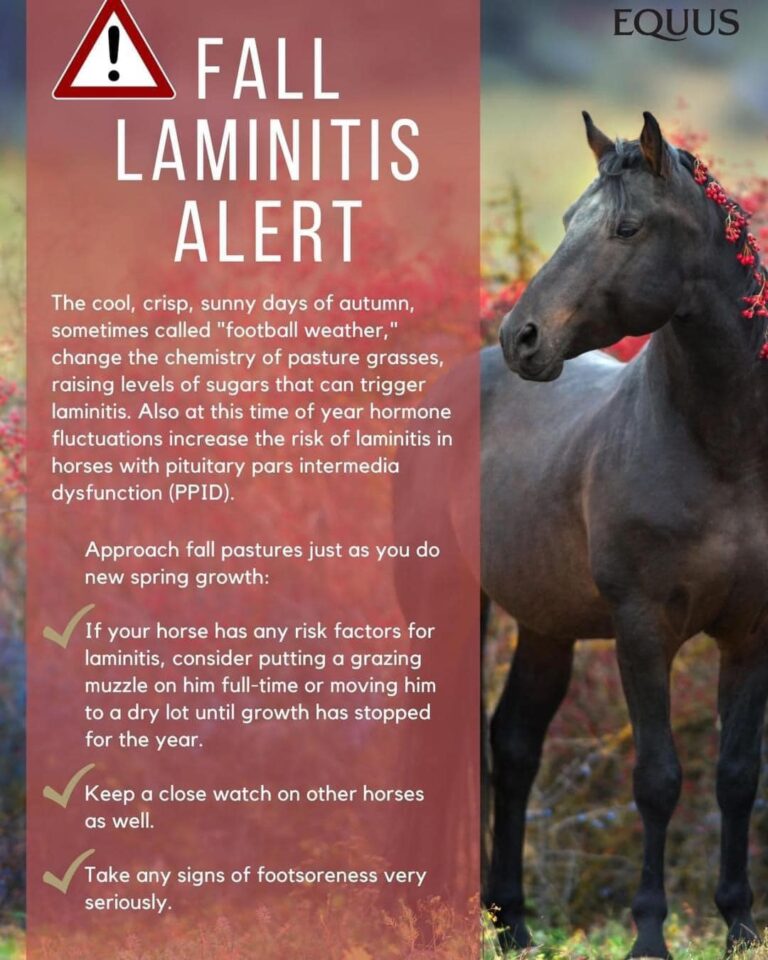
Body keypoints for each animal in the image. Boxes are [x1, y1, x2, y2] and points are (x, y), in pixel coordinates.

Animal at [481, 112, 768, 958]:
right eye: (567, 220)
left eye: (626, 227)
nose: (521, 338)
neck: (724, 453)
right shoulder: (644, 630)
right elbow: (658, 779)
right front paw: (649, 935)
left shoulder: (751, 634)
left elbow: (736, 775)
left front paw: (739, 926)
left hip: (545, 625)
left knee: (514, 744)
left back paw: (513, 926)